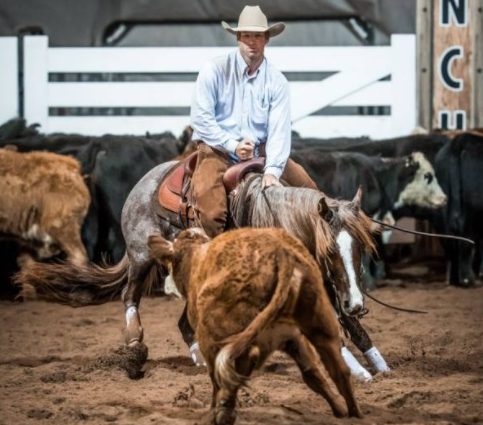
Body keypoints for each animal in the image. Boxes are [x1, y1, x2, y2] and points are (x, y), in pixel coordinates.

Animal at [16, 156, 378, 372]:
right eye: (330, 250)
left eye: (361, 246)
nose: (358, 304)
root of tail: (142, 184)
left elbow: (340, 320)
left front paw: (376, 365)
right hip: (142, 255)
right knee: (129, 296)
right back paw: (135, 342)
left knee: (183, 322)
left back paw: (200, 356)